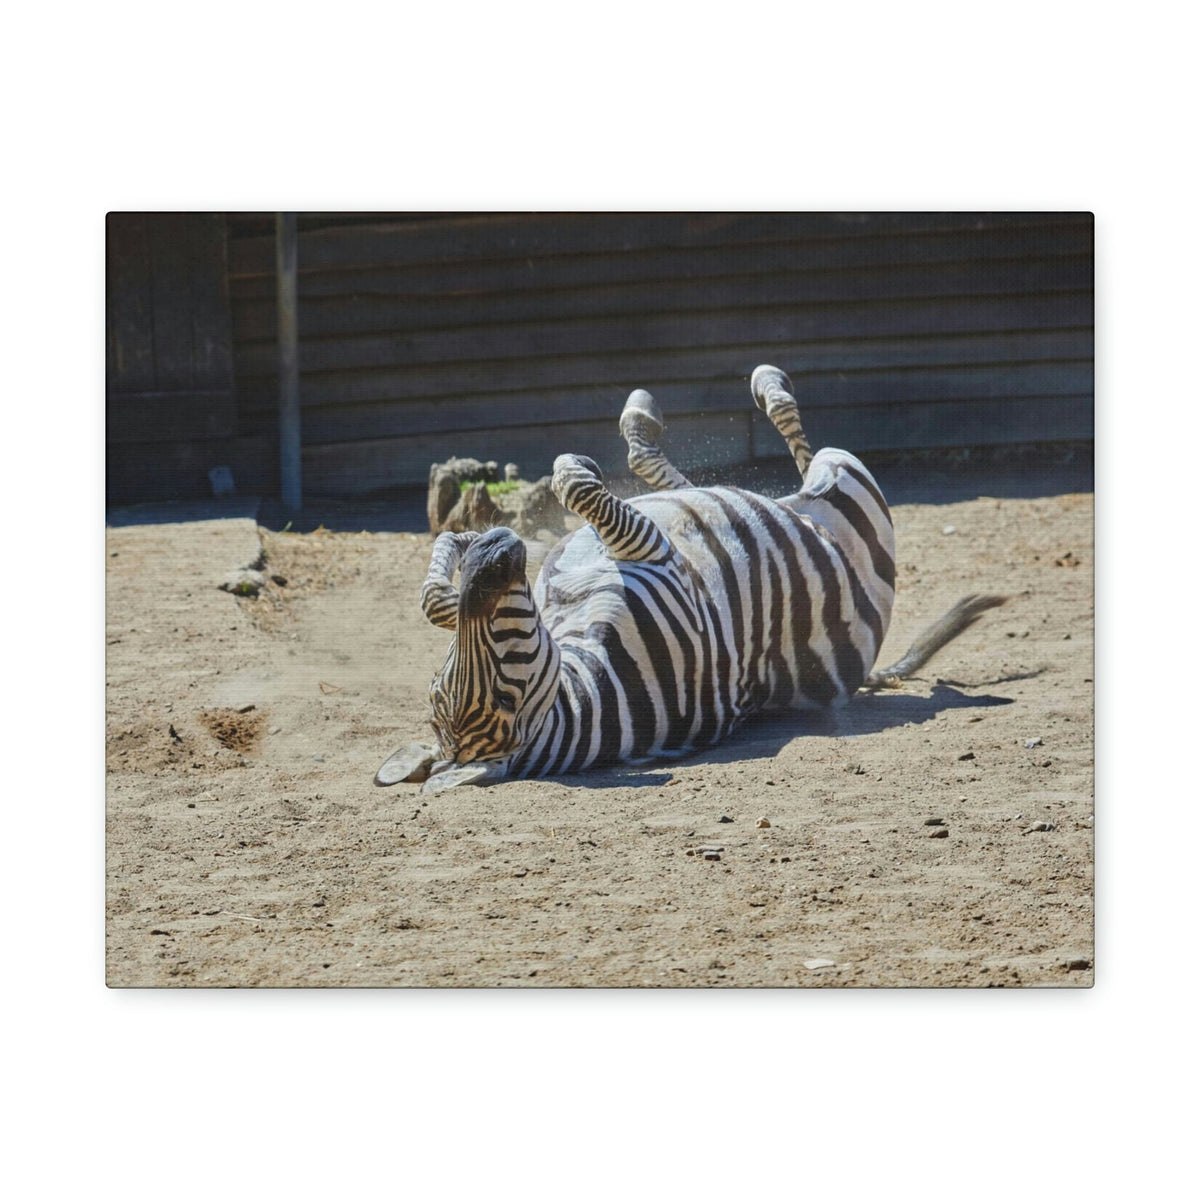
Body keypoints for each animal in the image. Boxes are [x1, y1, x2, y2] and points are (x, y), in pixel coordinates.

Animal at [377, 365, 1005, 792]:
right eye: (503, 690)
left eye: (446, 678)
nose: (497, 549)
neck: (584, 686)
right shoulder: (656, 557)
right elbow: (572, 482)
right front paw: (568, 474)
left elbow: (435, 599)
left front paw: (455, 547)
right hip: (850, 488)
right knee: (801, 454)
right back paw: (764, 385)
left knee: (679, 476)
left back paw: (647, 414)